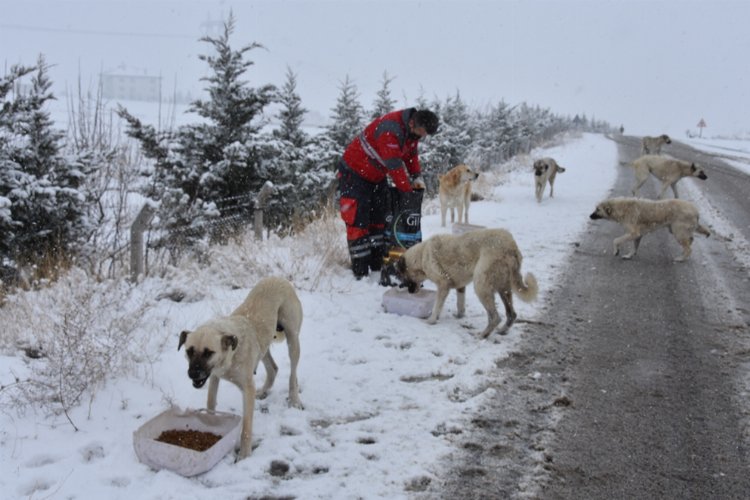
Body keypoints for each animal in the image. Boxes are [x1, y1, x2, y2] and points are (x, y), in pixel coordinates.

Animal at [178, 278, 304, 460]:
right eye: (189, 351)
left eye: (208, 353)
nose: (192, 374)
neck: (231, 353)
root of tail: (279, 278)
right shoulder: (214, 377)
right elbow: (210, 403)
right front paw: (209, 426)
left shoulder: (247, 388)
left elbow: (246, 425)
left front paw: (244, 454)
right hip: (263, 346)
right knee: (273, 368)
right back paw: (264, 391)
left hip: (292, 341)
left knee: (292, 374)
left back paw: (294, 399)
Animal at [396, 229, 536, 338]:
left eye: (402, 277)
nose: (410, 292)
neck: (421, 255)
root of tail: (511, 246)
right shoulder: (460, 286)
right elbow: (460, 303)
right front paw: (459, 315)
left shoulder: (443, 285)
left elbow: (437, 307)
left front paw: (431, 321)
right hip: (504, 289)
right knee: (511, 314)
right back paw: (502, 331)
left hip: (481, 286)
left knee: (495, 317)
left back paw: (482, 335)